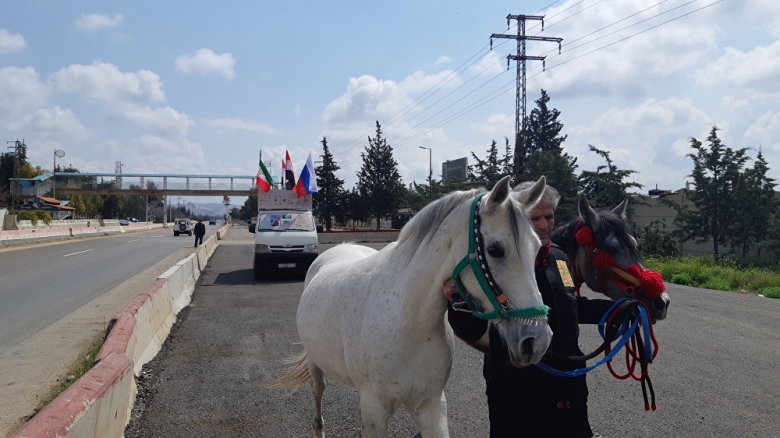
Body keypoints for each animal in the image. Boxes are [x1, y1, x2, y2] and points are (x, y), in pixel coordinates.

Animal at [274, 176, 556, 436]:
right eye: (496, 249)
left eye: (537, 248)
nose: (535, 341)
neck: (409, 321)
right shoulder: (376, 408)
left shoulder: (431, 406)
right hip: (316, 367)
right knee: (318, 398)